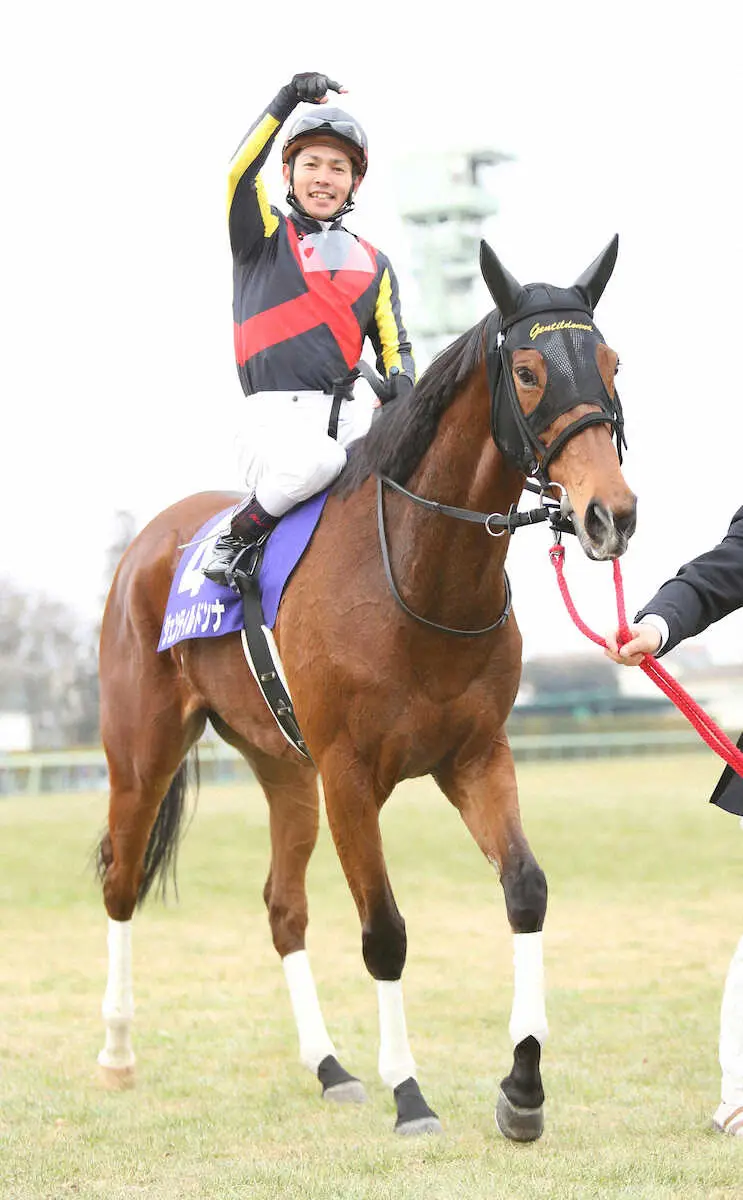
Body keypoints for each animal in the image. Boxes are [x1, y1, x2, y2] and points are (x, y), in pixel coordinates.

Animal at [96, 236, 636, 1139]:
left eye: (611, 361)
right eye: (528, 370)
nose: (611, 514)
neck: (418, 578)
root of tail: (148, 542)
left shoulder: (475, 756)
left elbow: (525, 890)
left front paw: (523, 1086)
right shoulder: (350, 776)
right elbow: (383, 932)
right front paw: (409, 1094)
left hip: (285, 771)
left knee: (282, 907)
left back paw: (329, 1067)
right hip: (142, 756)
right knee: (120, 880)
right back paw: (116, 1054)